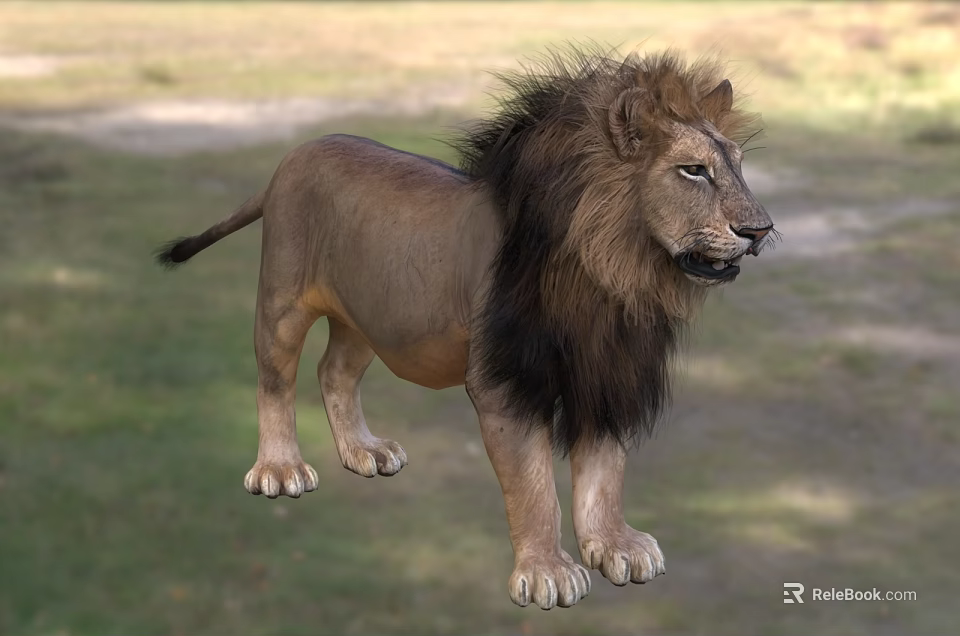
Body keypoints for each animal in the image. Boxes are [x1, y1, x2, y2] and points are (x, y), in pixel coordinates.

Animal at [156, 48, 774, 610]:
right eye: (693, 170)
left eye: (737, 165)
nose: (760, 229)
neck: (612, 277)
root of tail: (293, 156)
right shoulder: (505, 382)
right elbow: (532, 485)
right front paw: (547, 571)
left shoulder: (606, 376)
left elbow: (604, 472)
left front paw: (614, 546)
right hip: (283, 303)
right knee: (274, 381)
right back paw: (280, 469)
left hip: (370, 317)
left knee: (334, 372)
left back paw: (364, 451)